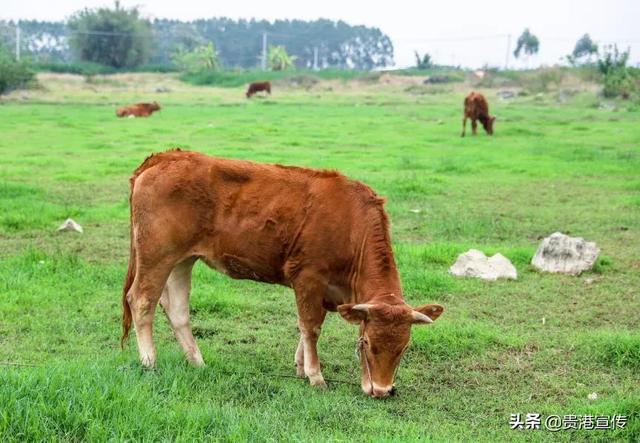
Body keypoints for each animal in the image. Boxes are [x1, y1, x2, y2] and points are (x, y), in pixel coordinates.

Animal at [120, 149, 442, 398]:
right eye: (366, 343)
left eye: (404, 348)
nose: (382, 391)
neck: (351, 228)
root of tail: (165, 157)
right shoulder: (308, 277)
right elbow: (310, 327)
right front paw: (315, 376)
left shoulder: (326, 290)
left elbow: (309, 326)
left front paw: (301, 367)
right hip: (157, 255)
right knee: (141, 301)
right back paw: (149, 361)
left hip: (182, 260)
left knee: (177, 309)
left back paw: (197, 362)